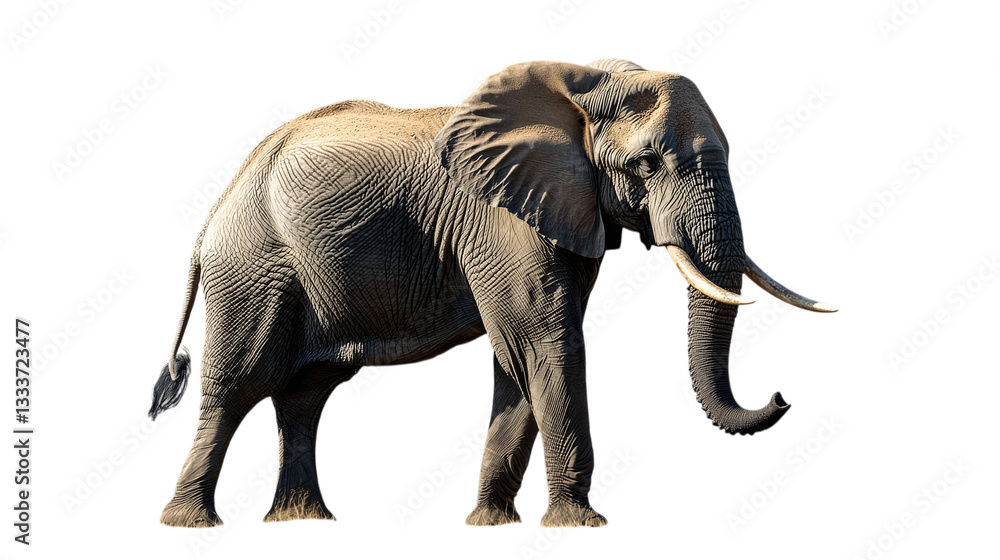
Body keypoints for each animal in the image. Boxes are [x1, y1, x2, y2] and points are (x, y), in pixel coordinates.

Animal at [149, 58, 836, 528]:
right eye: (646, 164)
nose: (781, 394)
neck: (585, 85)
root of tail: (213, 213)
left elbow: (520, 356)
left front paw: (490, 525)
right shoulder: (502, 219)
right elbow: (544, 339)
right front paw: (579, 526)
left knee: (304, 394)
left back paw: (304, 523)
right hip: (254, 269)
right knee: (239, 384)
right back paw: (191, 525)